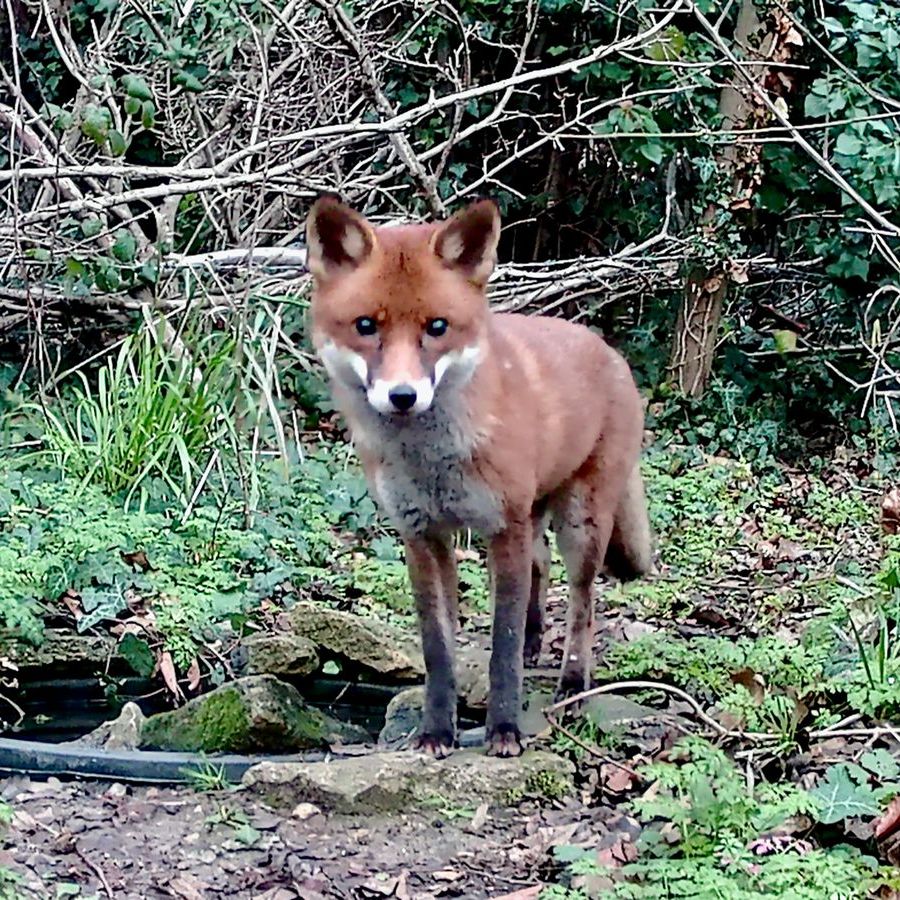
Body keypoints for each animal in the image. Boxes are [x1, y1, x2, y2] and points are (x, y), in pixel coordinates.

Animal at [304, 194, 653, 758]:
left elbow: (501, 648)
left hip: (580, 523)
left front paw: (504, 730)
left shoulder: (503, 526)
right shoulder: (423, 534)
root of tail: (607, 348)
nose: (403, 396)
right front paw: (435, 731)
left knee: (582, 605)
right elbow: (438, 649)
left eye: (437, 327)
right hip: (535, 515)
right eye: (366, 326)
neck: (432, 464)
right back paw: (537, 642)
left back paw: (572, 686)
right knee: (541, 566)